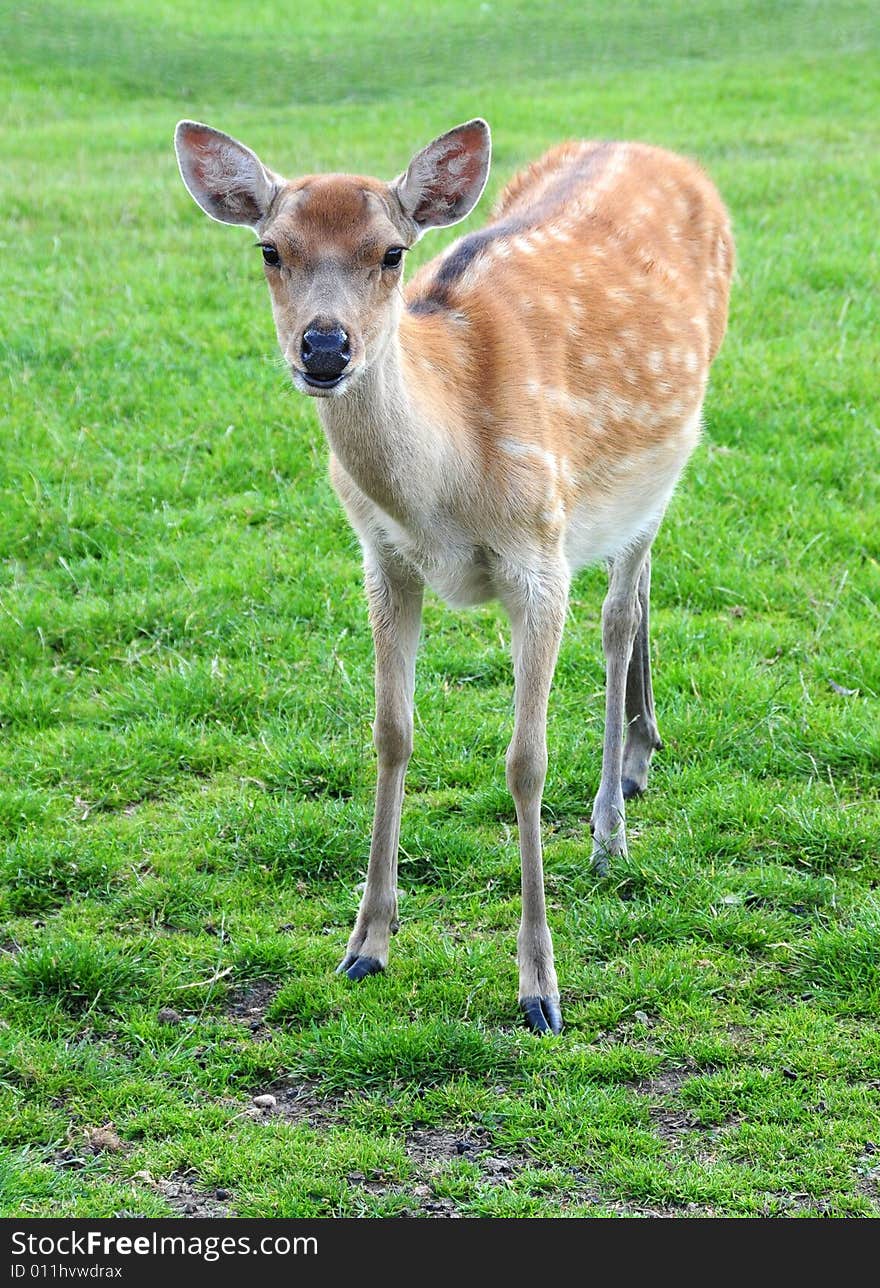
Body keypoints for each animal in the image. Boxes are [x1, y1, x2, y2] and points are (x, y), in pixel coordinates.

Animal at [173, 115, 736, 1030]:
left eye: (392, 252)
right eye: (270, 249)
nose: (324, 347)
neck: (444, 485)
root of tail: (660, 151)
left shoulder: (539, 558)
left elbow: (525, 761)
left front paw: (540, 988)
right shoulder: (382, 561)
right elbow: (390, 734)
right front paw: (365, 944)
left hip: (668, 450)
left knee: (621, 613)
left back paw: (610, 826)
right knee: (640, 589)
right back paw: (639, 755)